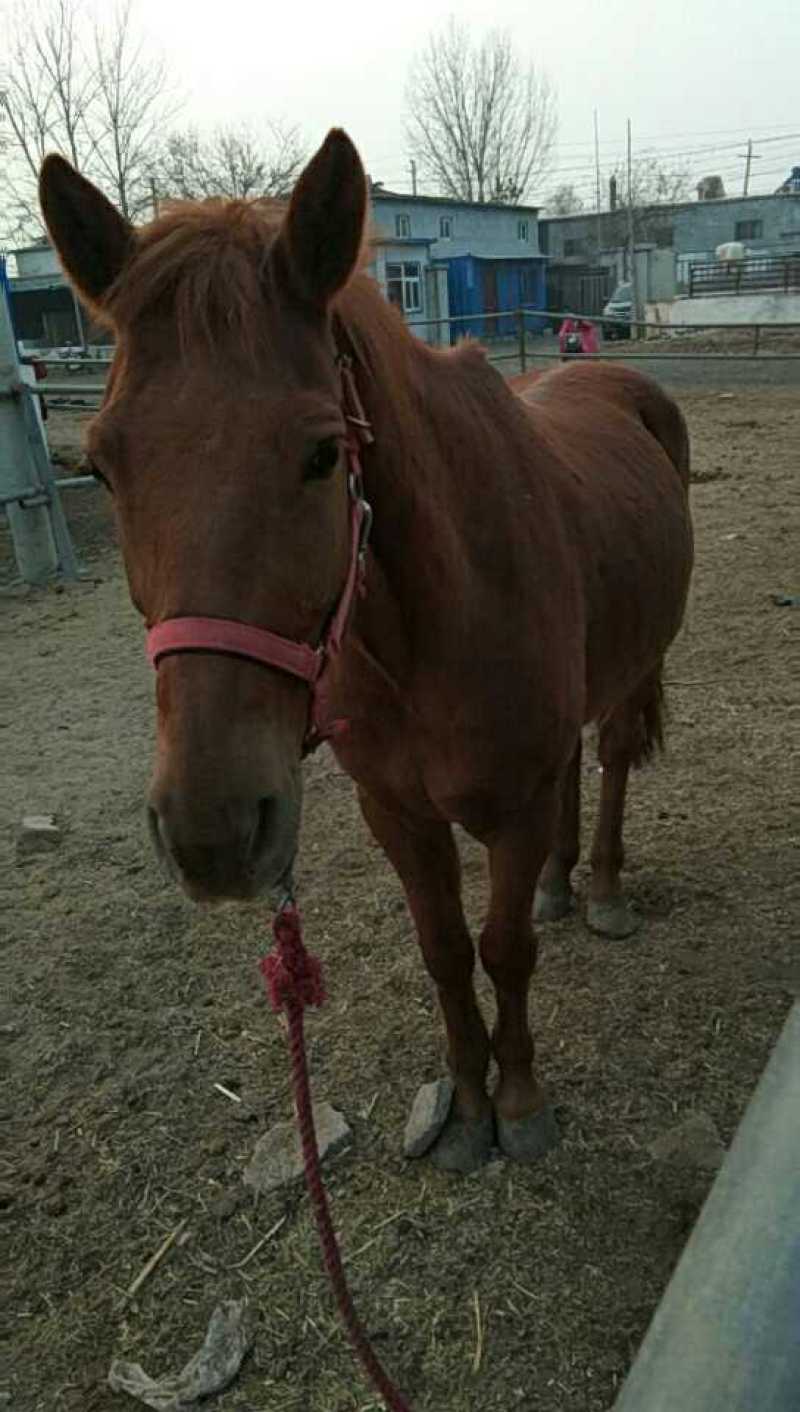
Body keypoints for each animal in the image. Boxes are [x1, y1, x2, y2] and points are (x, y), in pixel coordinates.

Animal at [39, 129, 693, 1174]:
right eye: (100, 465)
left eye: (322, 454)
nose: (211, 831)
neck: (432, 626)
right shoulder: (399, 813)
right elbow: (445, 952)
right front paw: (466, 1109)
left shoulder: (509, 809)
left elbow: (504, 950)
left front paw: (520, 1102)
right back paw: (560, 886)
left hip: (636, 671)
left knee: (617, 759)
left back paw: (599, 888)